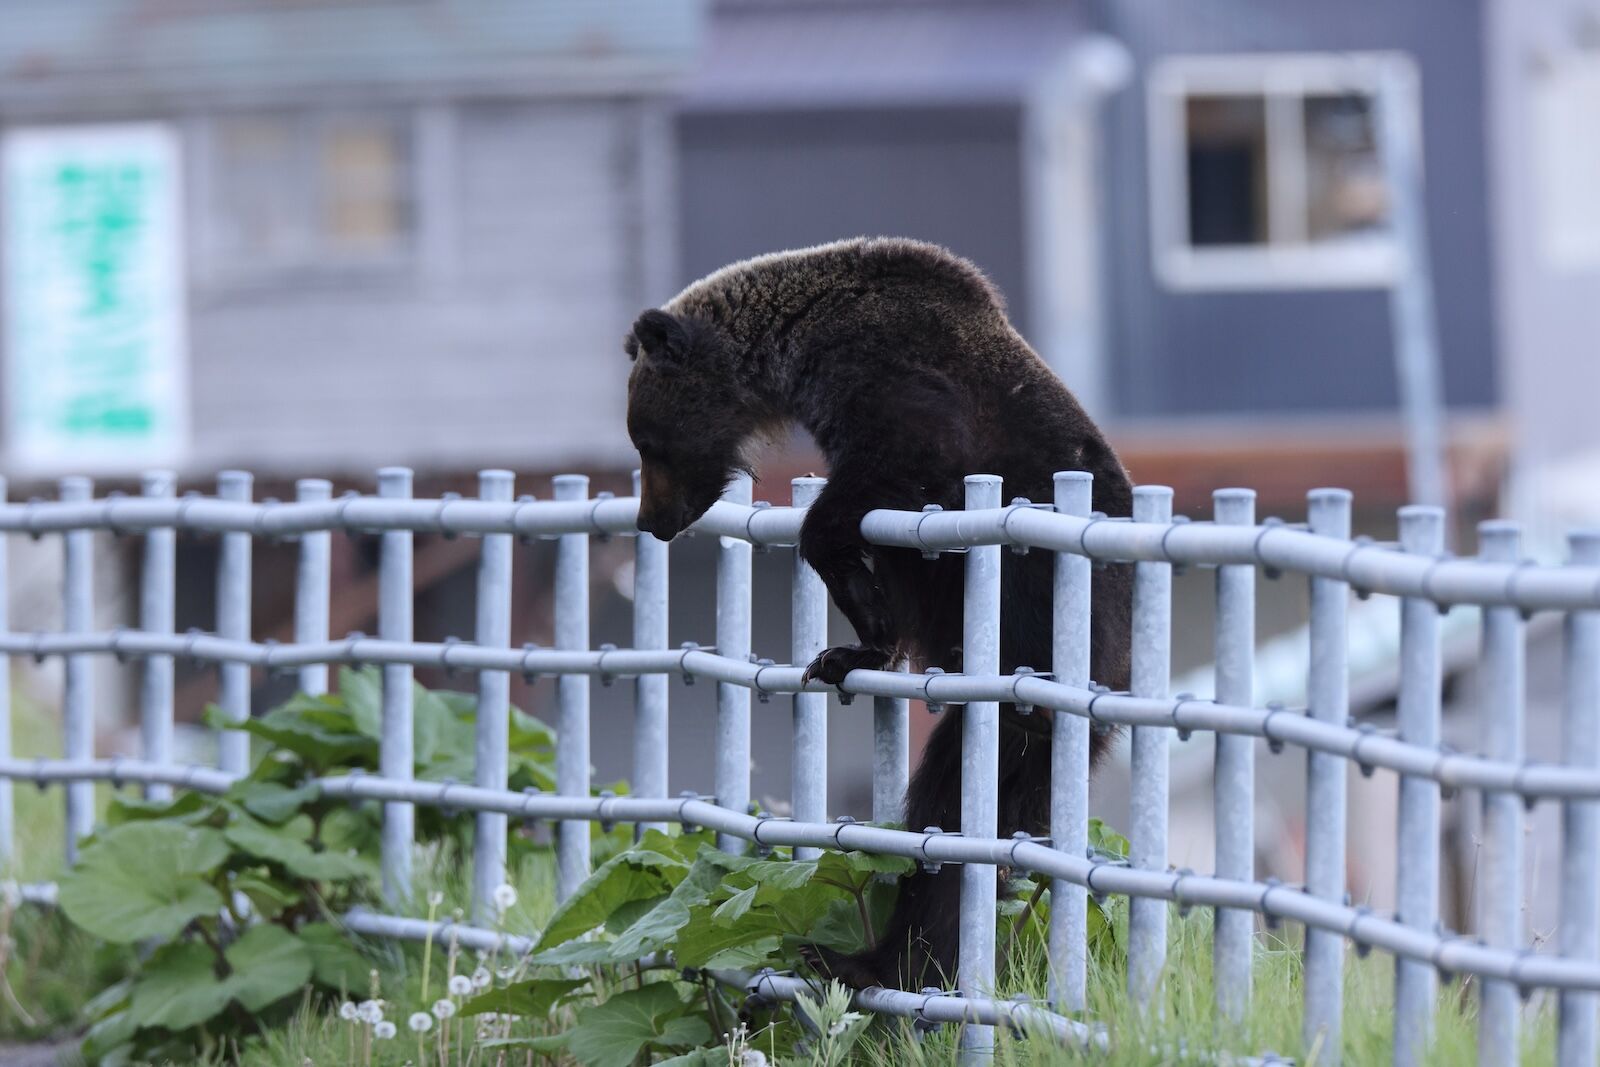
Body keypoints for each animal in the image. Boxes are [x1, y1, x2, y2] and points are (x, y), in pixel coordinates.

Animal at [624, 236, 1133, 990]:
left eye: (647, 440)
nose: (651, 519)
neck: (798, 346)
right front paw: (847, 650)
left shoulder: (897, 380)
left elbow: (887, 472)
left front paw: (858, 602)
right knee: (953, 807)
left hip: (1050, 612)